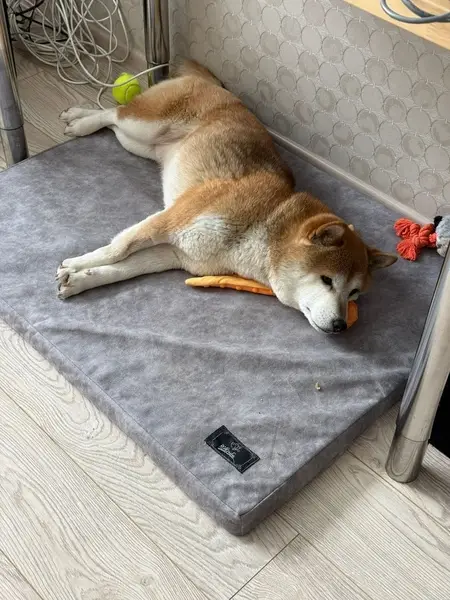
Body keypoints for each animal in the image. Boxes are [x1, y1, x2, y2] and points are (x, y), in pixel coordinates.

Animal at [57, 59, 397, 334]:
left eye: (354, 294)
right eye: (327, 280)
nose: (341, 325)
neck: (260, 232)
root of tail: (217, 85)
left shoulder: (177, 255)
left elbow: (124, 267)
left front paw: (81, 279)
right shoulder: (169, 221)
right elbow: (117, 250)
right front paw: (75, 263)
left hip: (138, 144)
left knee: (113, 122)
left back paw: (80, 118)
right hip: (143, 127)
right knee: (114, 113)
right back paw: (80, 120)